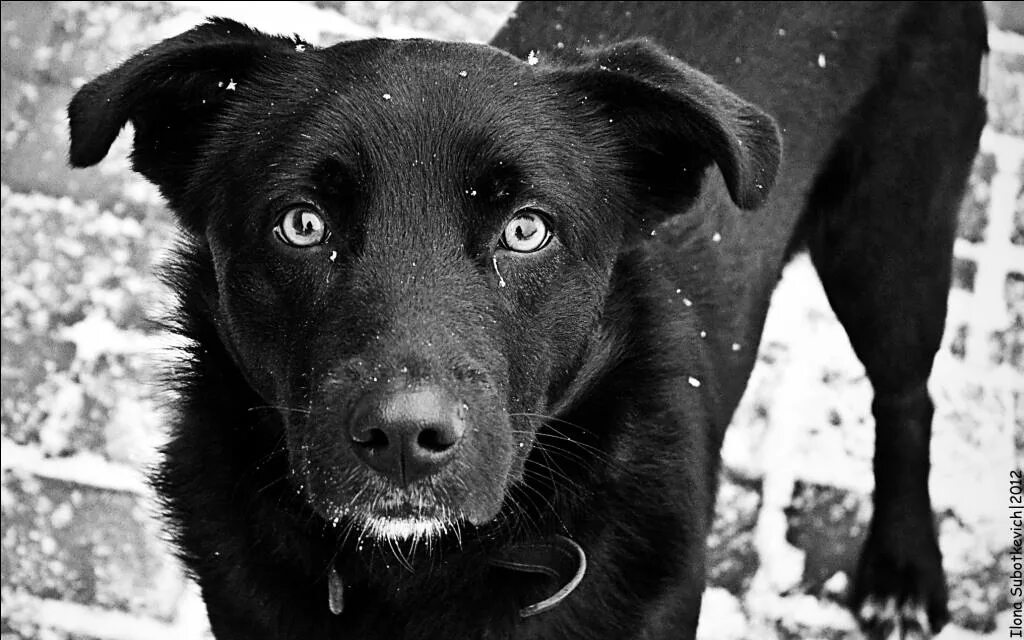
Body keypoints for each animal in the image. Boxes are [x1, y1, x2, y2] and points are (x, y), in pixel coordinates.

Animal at [70, 2, 983, 634]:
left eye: (525, 229)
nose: (404, 438)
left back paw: (902, 570)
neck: (417, 573)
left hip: (891, 243)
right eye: (301, 223)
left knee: (907, 397)